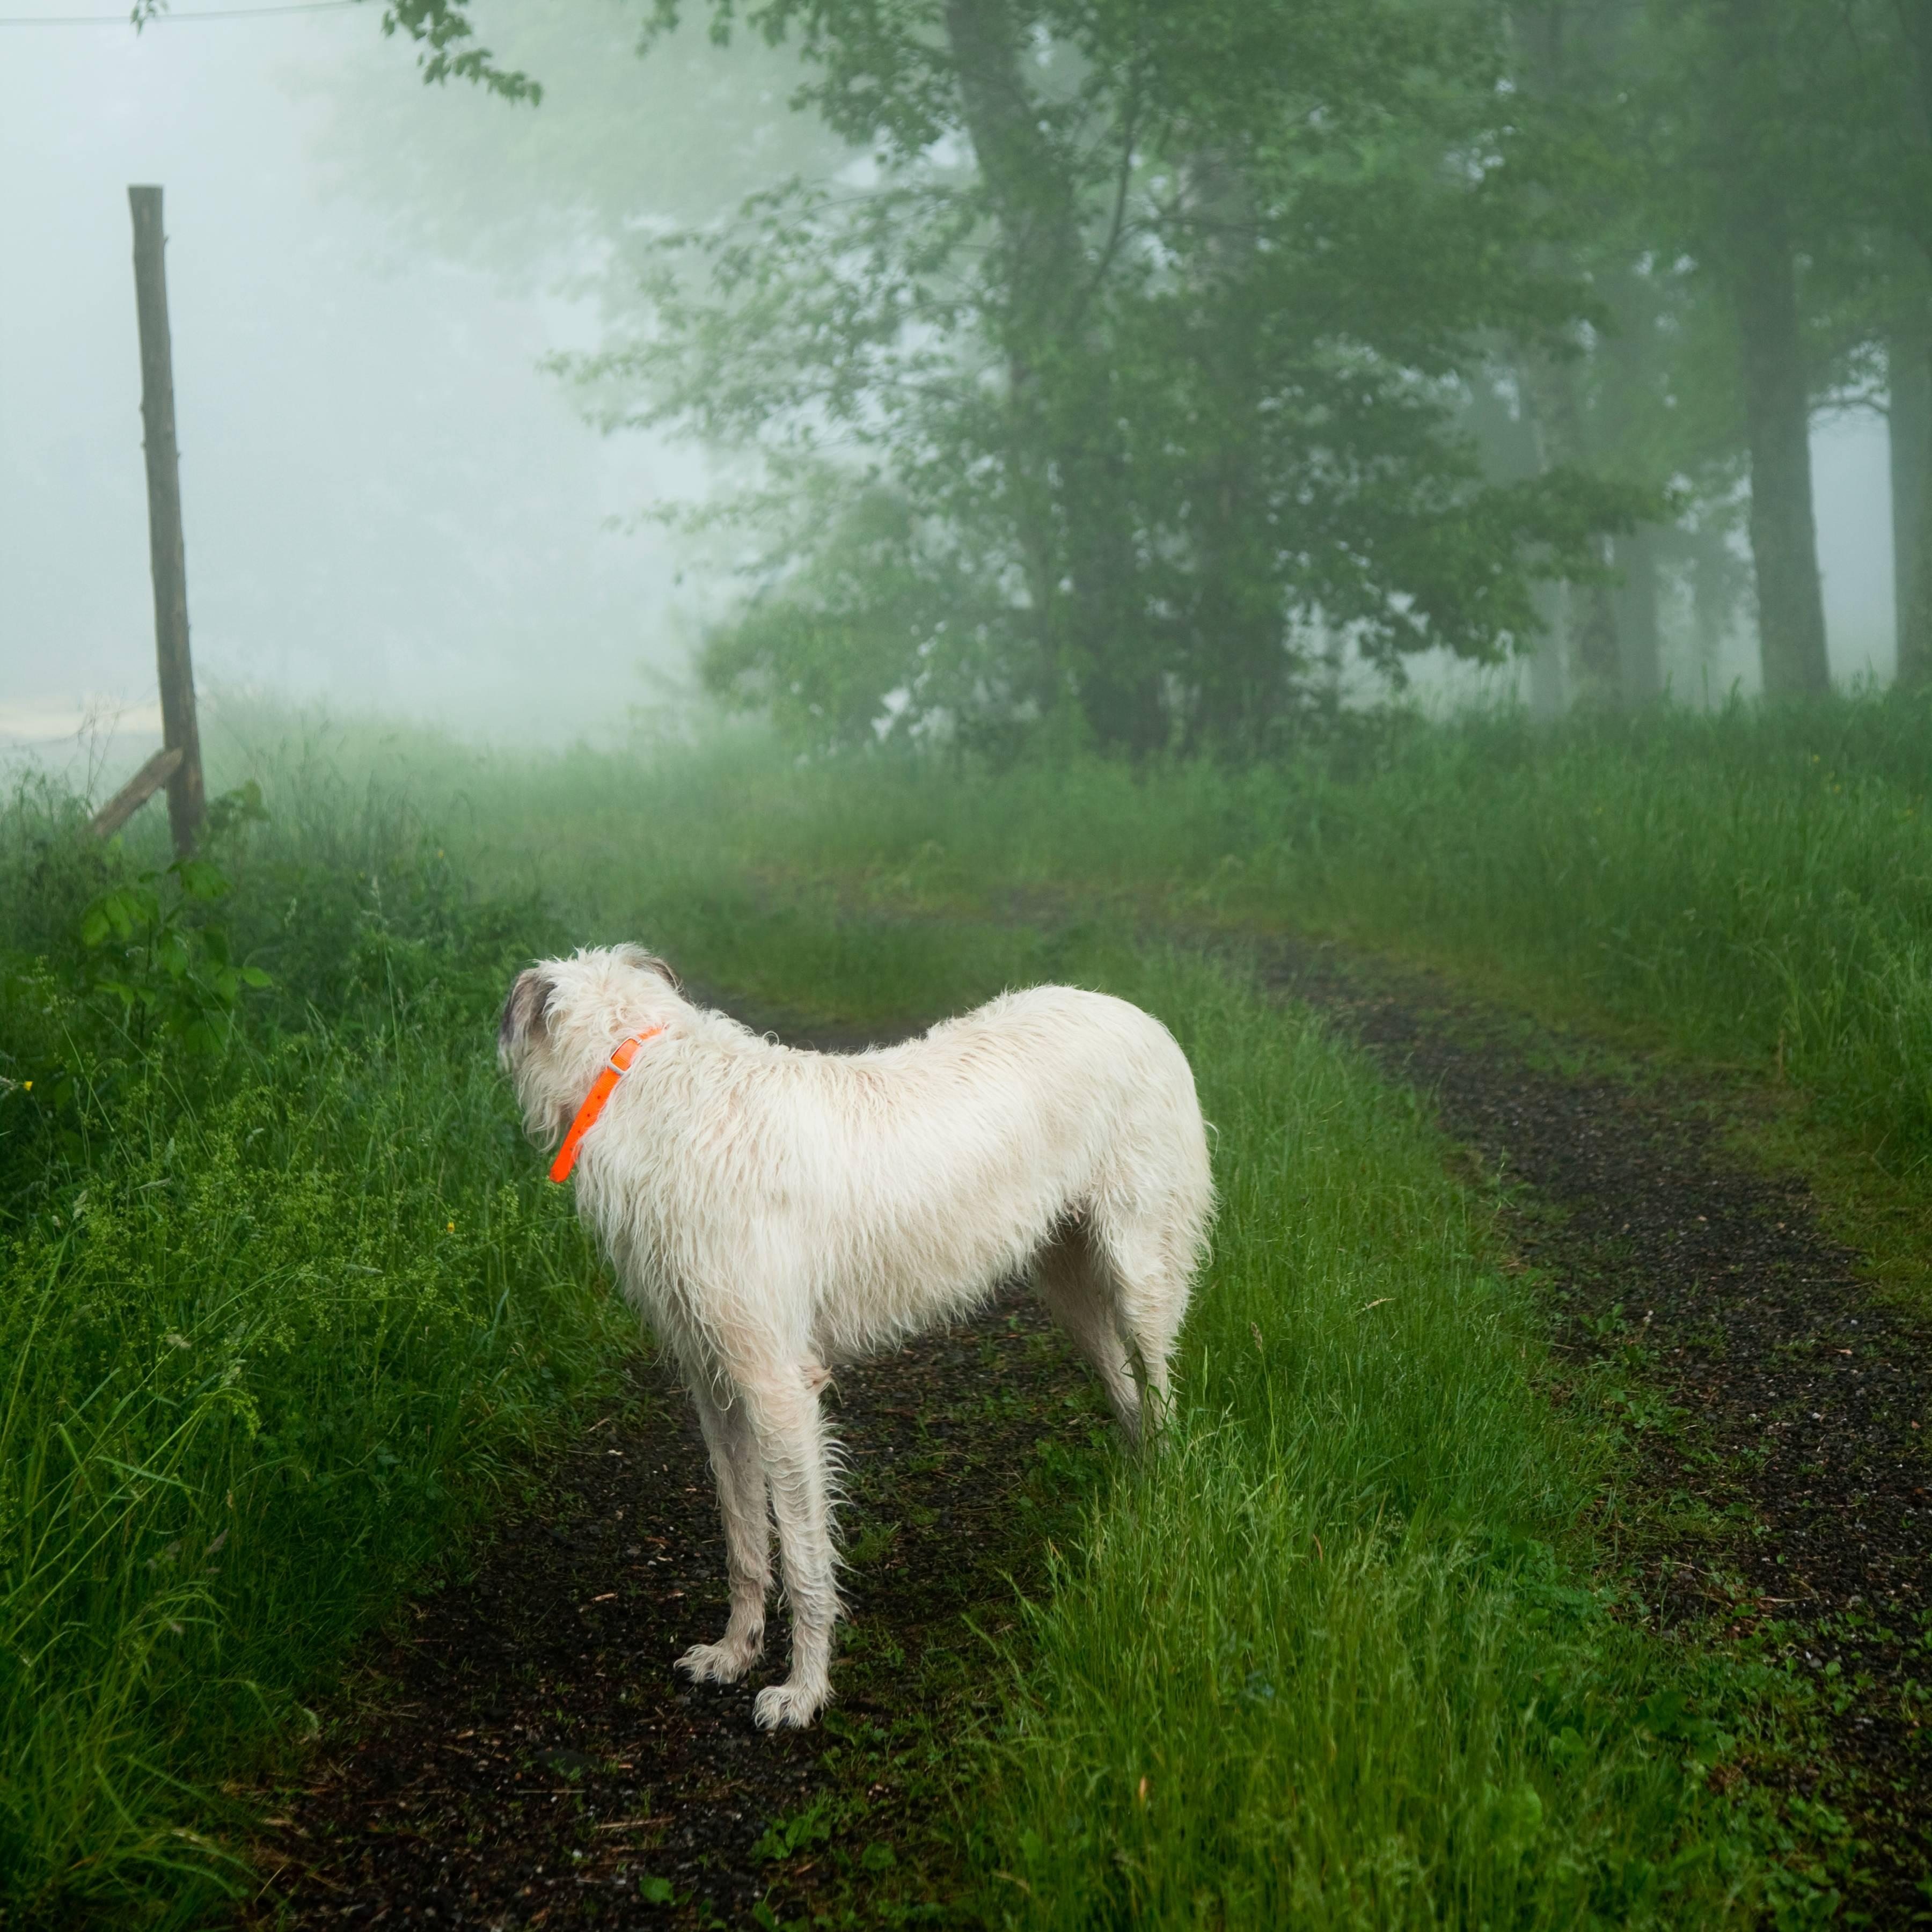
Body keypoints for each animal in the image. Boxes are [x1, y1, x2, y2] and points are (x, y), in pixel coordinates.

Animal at [494, 942, 1205, 1731]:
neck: (652, 1076)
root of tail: (1135, 1014)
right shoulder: (718, 1383)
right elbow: (744, 1537)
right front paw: (734, 1652)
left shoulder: (779, 1387)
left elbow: (805, 1557)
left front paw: (803, 1690)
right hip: (1071, 1290)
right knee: (1129, 1398)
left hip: (1141, 1272)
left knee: (1159, 1392)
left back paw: (1163, 1509)